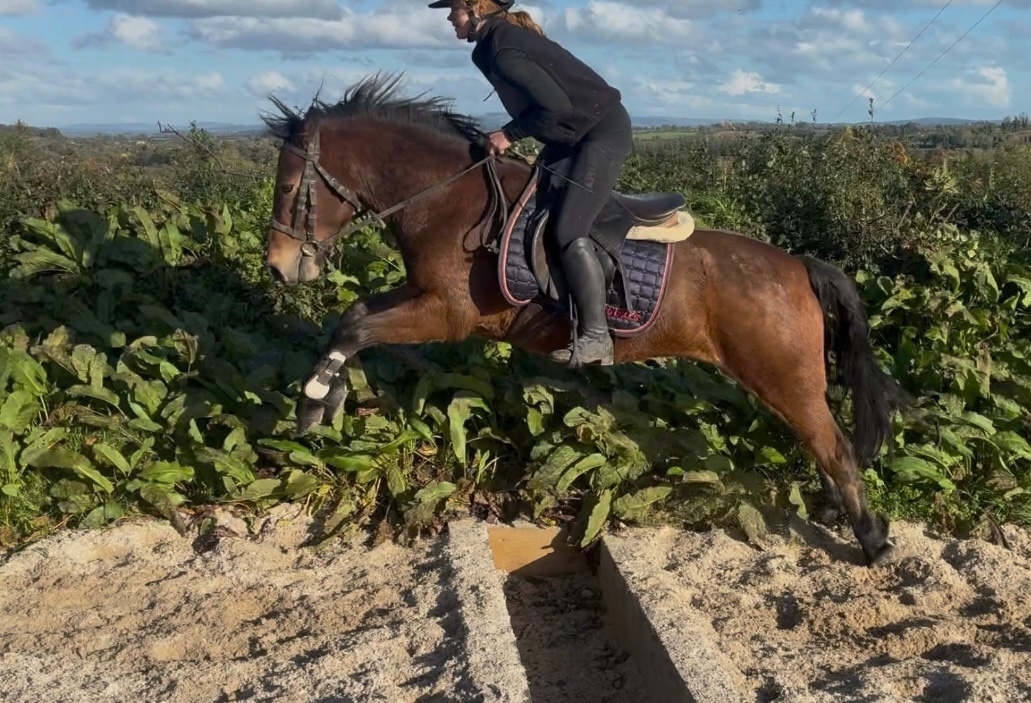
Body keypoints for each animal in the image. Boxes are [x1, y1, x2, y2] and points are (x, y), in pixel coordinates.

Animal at [260, 74, 911, 566]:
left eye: (290, 187)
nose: (278, 267)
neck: (446, 200)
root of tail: (798, 266)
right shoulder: (420, 297)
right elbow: (352, 316)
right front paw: (324, 399)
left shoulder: (444, 313)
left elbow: (355, 327)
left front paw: (313, 401)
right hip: (783, 379)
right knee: (823, 440)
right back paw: (836, 512)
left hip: (781, 374)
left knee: (835, 446)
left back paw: (872, 541)